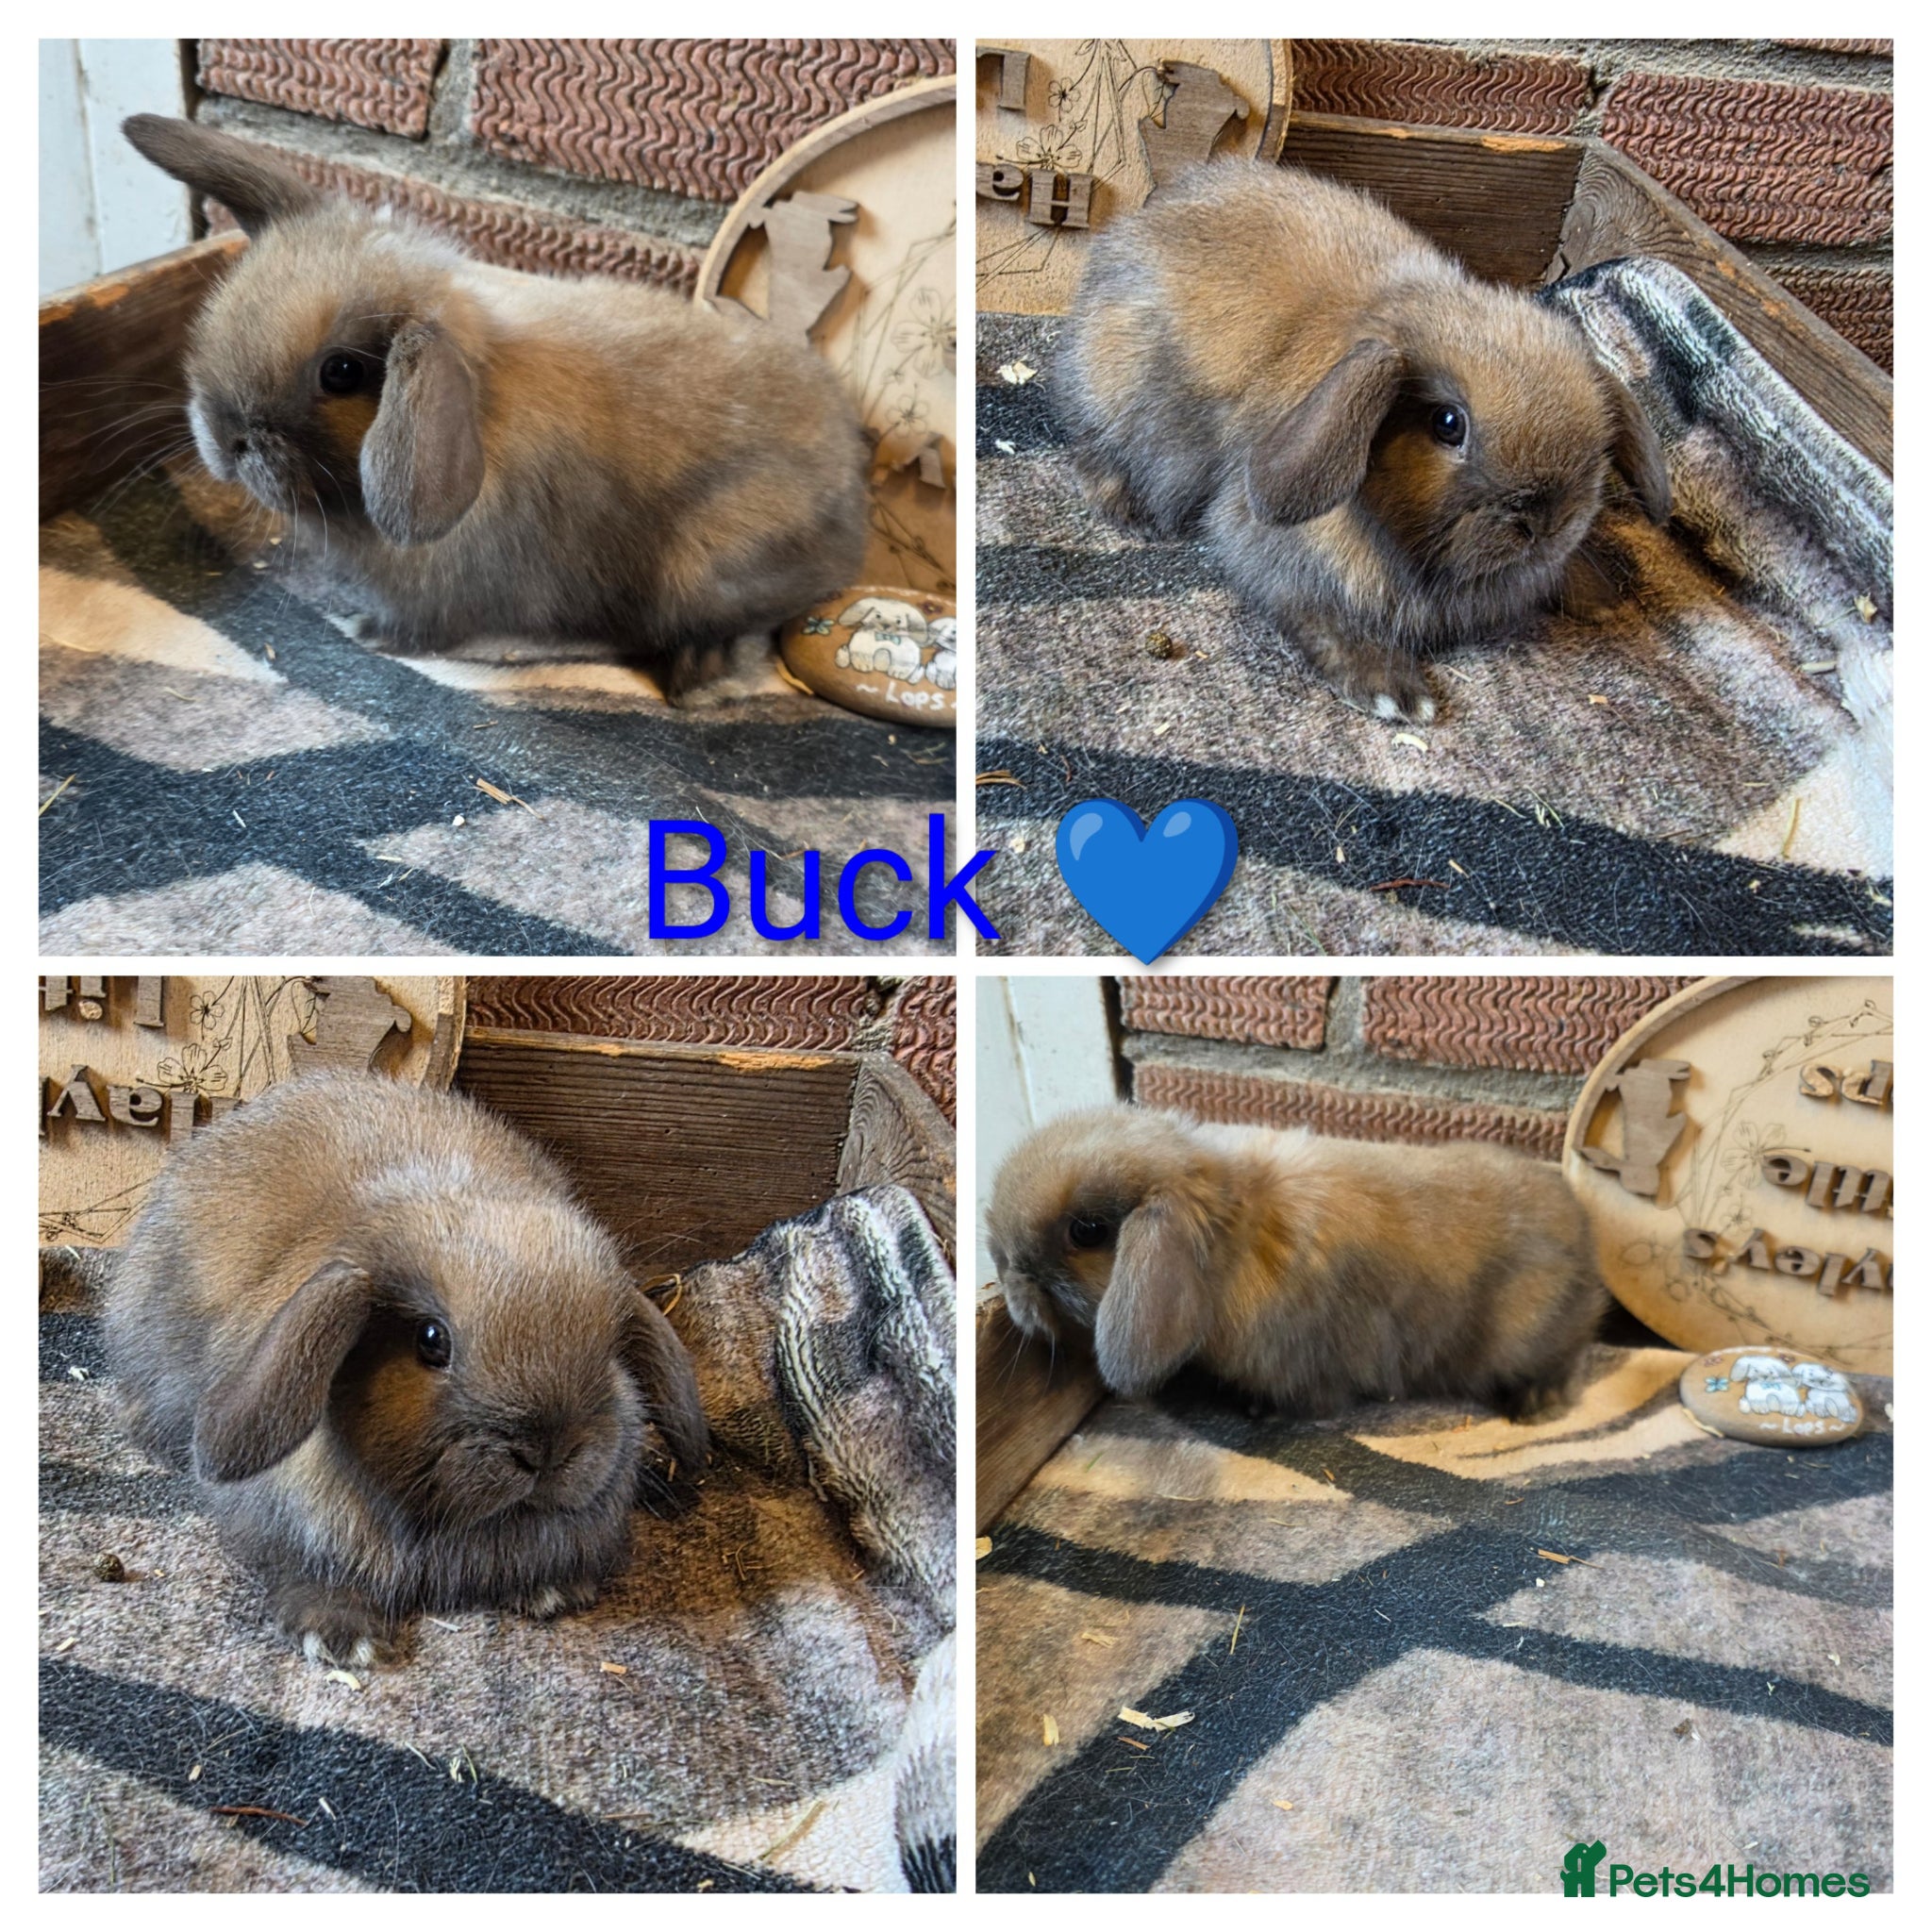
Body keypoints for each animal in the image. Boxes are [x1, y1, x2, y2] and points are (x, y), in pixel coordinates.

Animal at [101, 1071, 709, 1667]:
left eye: (608, 1347)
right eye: (432, 1341)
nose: (547, 1452)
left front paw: (552, 1592)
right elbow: (300, 1569)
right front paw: (341, 1637)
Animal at [121, 114, 870, 704]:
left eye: (342, 372)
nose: (227, 439)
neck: (479, 406)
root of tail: (850, 491)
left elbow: (422, 628)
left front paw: (366, 633)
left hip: (706, 566)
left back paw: (700, 674)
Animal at [986, 1104, 1608, 1421]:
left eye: (1087, 1231)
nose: (1005, 1273)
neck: (1230, 1238)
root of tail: (1585, 1233)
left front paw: (1255, 1410)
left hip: (1529, 1335)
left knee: (1572, 1353)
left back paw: (1535, 1406)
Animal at [1058, 162, 1672, 723]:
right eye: (1448, 423)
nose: (1545, 522)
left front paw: (1601, 595)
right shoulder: (1280, 555)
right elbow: (1318, 616)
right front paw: (1396, 694)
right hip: (1115, 392)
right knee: (1089, 444)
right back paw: (1130, 513)